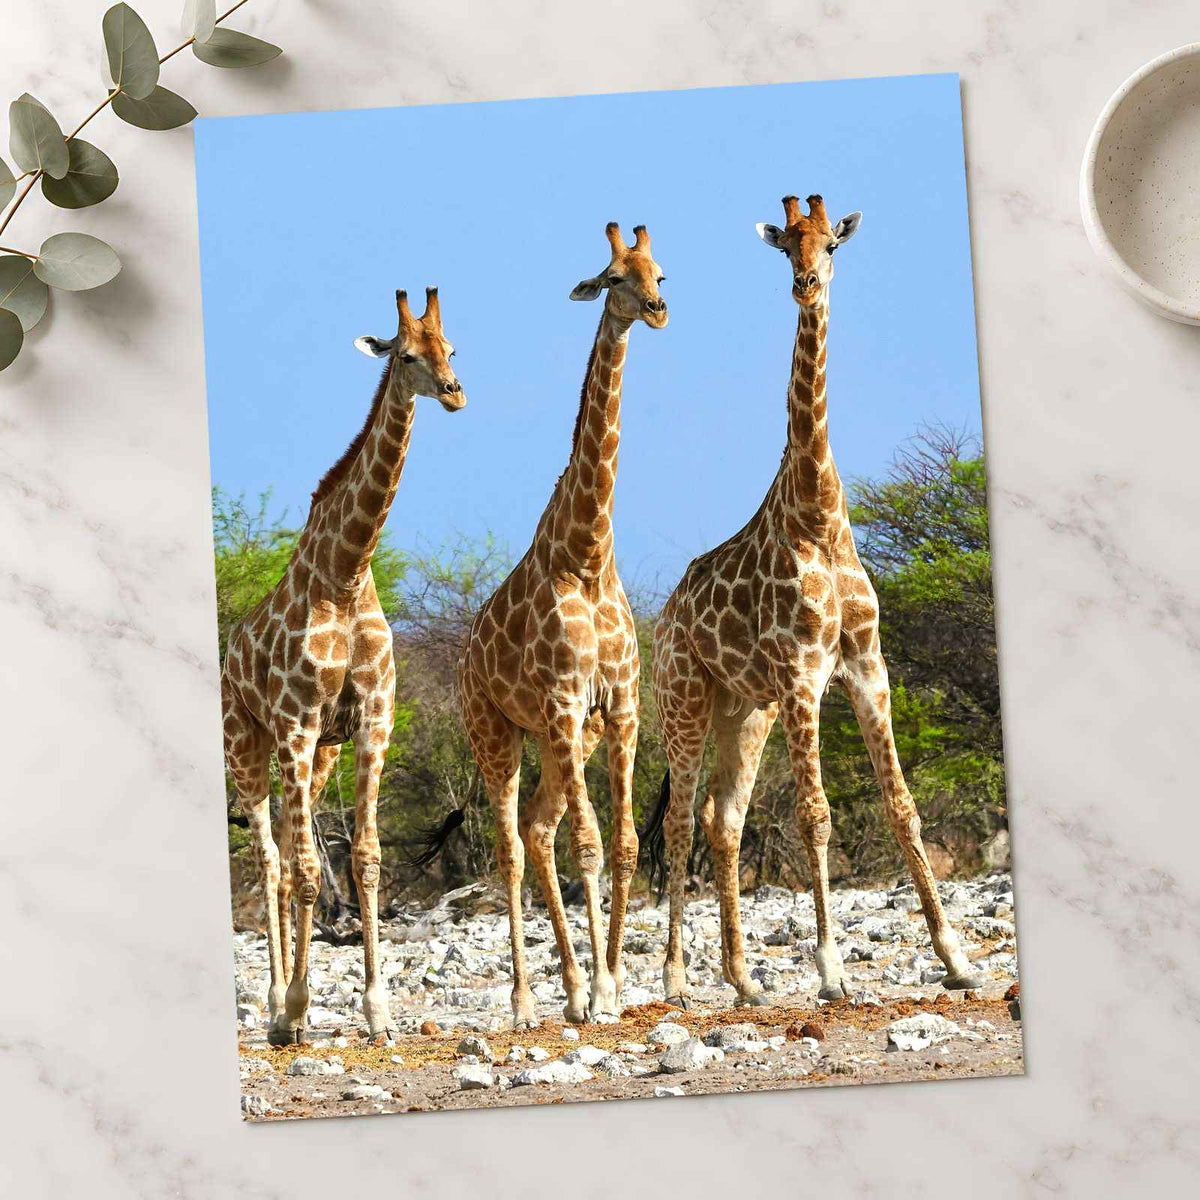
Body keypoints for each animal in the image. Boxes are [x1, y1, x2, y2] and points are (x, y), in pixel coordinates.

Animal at [221, 287, 464, 1045]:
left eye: (452, 347)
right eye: (407, 354)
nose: (455, 392)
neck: (348, 572)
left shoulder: (370, 722)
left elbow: (364, 859)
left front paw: (378, 1009)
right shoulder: (298, 725)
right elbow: (303, 869)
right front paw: (299, 1007)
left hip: (318, 753)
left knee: (289, 856)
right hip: (249, 743)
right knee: (271, 861)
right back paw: (278, 1008)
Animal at [452, 222, 667, 1028]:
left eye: (659, 271)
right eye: (612, 277)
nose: (657, 309)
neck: (588, 554)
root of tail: (465, 658)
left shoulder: (622, 708)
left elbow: (627, 843)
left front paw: (611, 983)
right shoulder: (569, 704)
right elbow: (590, 844)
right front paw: (603, 991)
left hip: (554, 738)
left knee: (538, 832)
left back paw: (570, 988)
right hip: (496, 732)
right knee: (514, 846)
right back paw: (525, 1000)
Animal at [647, 195, 985, 1009]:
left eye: (830, 243)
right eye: (784, 247)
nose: (804, 285)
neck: (820, 515)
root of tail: (664, 617)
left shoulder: (866, 664)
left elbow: (902, 805)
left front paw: (956, 958)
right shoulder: (804, 671)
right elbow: (815, 815)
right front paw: (831, 970)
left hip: (746, 710)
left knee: (723, 820)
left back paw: (744, 981)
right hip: (685, 699)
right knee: (678, 824)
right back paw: (675, 978)